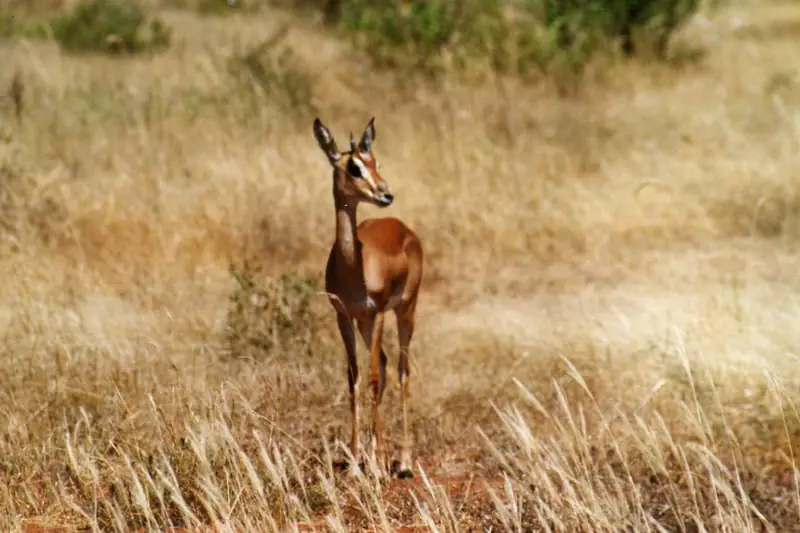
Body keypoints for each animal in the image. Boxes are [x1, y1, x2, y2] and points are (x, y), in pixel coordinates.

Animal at [313, 116, 423, 479]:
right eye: (354, 167)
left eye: (376, 162)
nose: (386, 193)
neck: (352, 267)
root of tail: (402, 227)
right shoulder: (344, 316)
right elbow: (354, 378)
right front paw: (355, 457)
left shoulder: (378, 312)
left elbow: (373, 378)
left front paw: (375, 462)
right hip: (364, 323)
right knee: (387, 364)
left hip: (405, 311)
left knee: (401, 369)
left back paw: (403, 461)